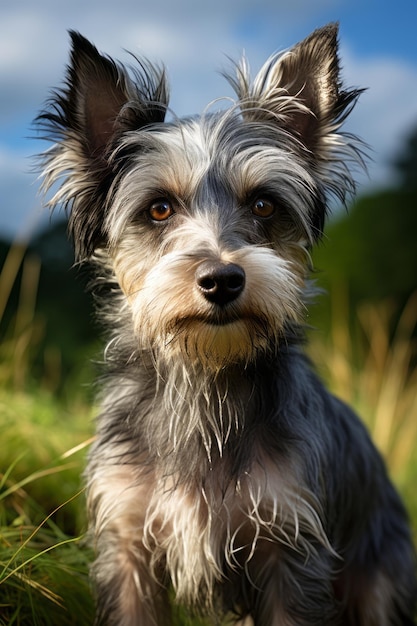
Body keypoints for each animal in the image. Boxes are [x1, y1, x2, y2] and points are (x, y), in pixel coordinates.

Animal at [37, 22, 414, 620]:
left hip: (381, 578)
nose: (221, 280)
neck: (204, 378)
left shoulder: (290, 546)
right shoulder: (127, 539)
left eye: (263, 205)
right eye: (159, 209)